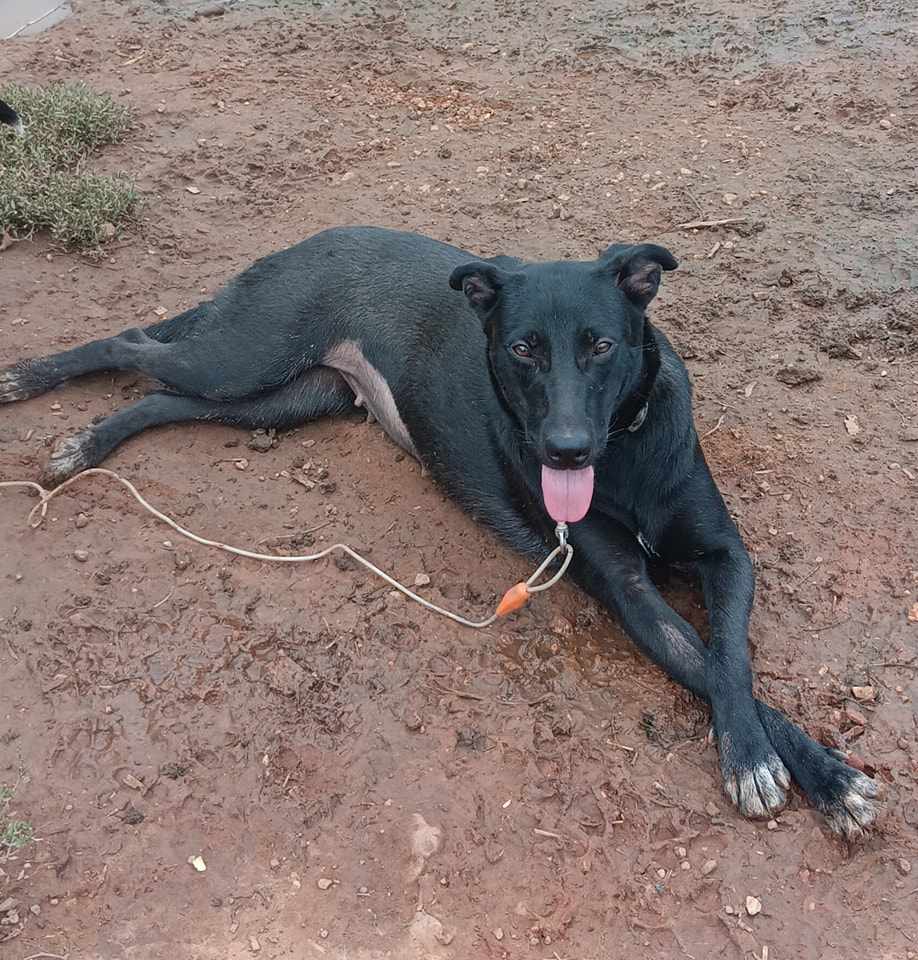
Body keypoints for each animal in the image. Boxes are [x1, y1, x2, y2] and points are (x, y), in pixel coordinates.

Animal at [0, 225, 880, 832]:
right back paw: (35, 381)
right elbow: (707, 663)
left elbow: (730, 656)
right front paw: (770, 760)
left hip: (284, 397)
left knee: (161, 394)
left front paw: (819, 773)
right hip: (246, 357)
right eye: (522, 349)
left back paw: (89, 442)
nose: (565, 449)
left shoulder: (727, 555)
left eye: (601, 346)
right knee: (136, 344)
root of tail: (307, 240)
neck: (623, 454)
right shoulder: (625, 589)